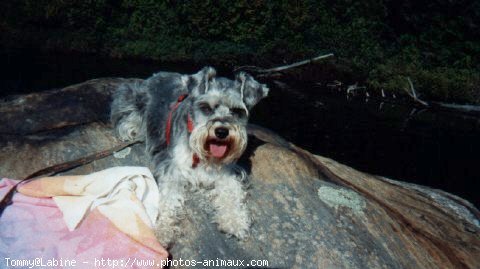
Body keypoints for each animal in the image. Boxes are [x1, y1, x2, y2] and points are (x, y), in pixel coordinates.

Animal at [110, 66, 270, 244]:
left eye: (237, 111)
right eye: (206, 108)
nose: (221, 132)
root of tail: (158, 75)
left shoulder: (228, 172)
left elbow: (232, 193)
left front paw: (235, 221)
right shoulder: (173, 169)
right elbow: (168, 200)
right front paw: (162, 230)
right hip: (131, 103)